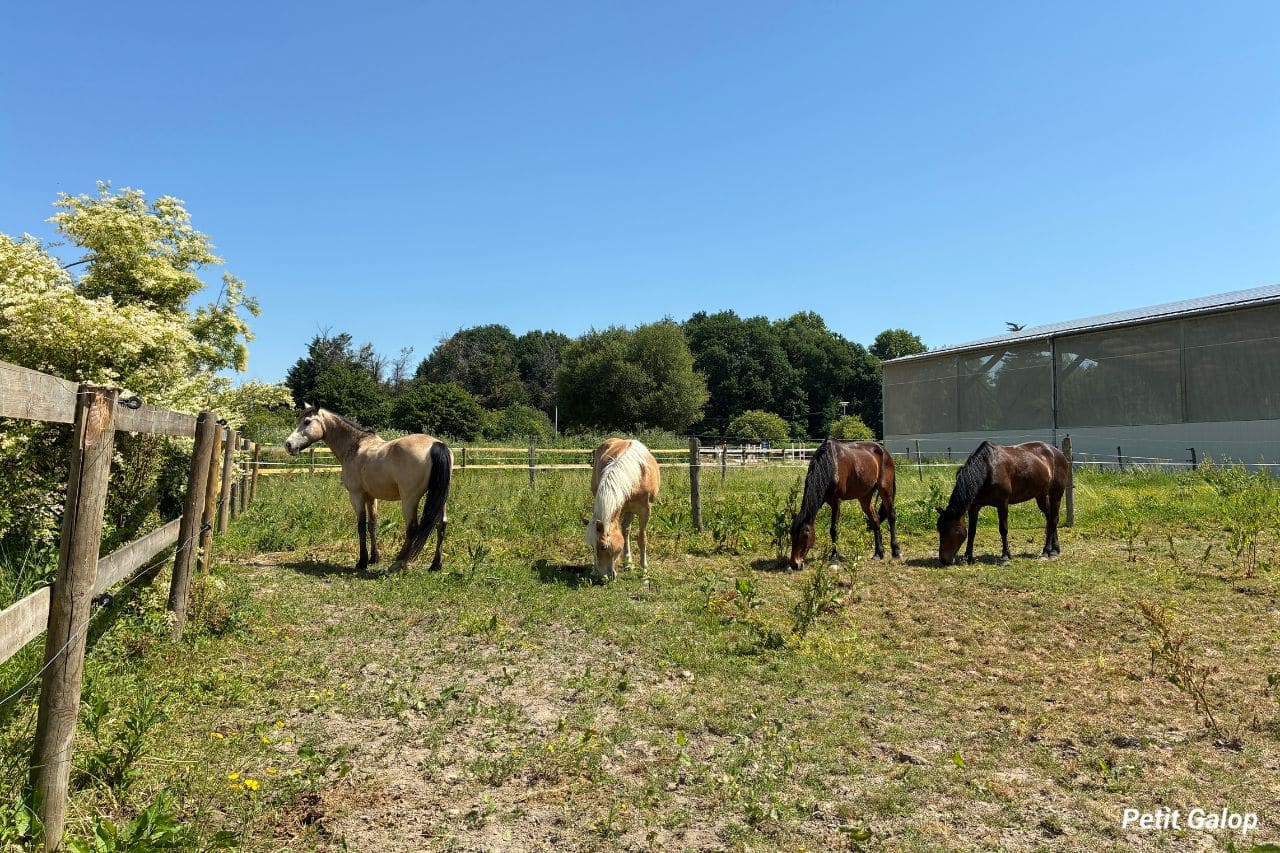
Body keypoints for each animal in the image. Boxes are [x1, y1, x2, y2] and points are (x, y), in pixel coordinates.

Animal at [283, 404, 452, 572]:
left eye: (307, 421)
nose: (288, 445)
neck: (355, 445)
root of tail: (436, 444)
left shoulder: (356, 495)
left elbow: (361, 526)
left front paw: (362, 562)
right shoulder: (371, 497)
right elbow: (372, 525)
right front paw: (374, 558)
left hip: (409, 499)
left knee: (412, 528)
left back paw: (398, 564)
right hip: (441, 498)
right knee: (441, 525)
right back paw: (435, 565)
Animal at [585, 438, 660, 581]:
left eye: (604, 547)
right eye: (591, 546)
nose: (602, 577)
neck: (636, 475)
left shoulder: (645, 511)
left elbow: (642, 539)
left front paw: (644, 571)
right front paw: (593, 570)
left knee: (626, 531)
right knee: (625, 531)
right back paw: (627, 563)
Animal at [789, 439, 899, 570]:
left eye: (805, 536)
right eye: (791, 535)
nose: (795, 564)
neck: (830, 465)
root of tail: (884, 451)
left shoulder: (836, 502)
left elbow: (833, 530)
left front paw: (834, 556)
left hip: (886, 489)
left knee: (891, 515)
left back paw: (896, 551)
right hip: (865, 496)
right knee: (875, 520)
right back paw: (879, 553)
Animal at [935, 440, 1069, 566]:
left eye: (950, 531)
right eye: (940, 530)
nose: (943, 560)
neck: (987, 470)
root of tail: (1057, 453)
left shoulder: (1002, 504)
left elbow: (1003, 529)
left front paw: (1005, 556)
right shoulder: (974, 507)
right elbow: (972, 531)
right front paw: (968, 557)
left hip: (1056, 494)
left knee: (1053, 519)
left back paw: (1048, 551)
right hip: (1040, 495)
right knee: (1050, 518)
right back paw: (1053, 550)